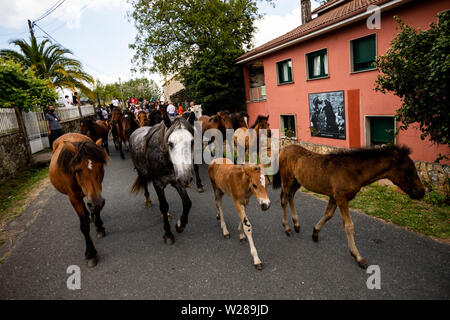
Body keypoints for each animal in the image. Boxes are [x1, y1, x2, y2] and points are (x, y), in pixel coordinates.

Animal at [49, 132, 109, 268]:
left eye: (100, 167)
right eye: (78, 170)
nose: (96, 202)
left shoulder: (96, 192)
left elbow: (95, 207)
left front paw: (99, 226)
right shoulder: (73, 197)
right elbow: (84, 225)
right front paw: (91, 254)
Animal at [128, 114, 195, 244]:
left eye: (192, 142)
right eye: (170, 143)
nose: (185, 178)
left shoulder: (176, 180)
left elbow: (187, 203)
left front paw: (180, 225)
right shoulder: (158, 183)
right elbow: (163, 206)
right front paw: (168, 234)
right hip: (140, 171)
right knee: (144, 183)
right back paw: (148, 200)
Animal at [270, 144, 426, 268]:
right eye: (409, 170)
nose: (422, 192)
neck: (354, 171)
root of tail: (283, 148)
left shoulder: (334, 197)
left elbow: (328, 215)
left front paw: (315, 233)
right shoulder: (341, 198)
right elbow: (349, 225)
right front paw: (358, 257)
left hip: (297, 181)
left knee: (291, 196)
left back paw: (296, 224)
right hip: (286, 179)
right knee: (283, 199)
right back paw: (288, 228)